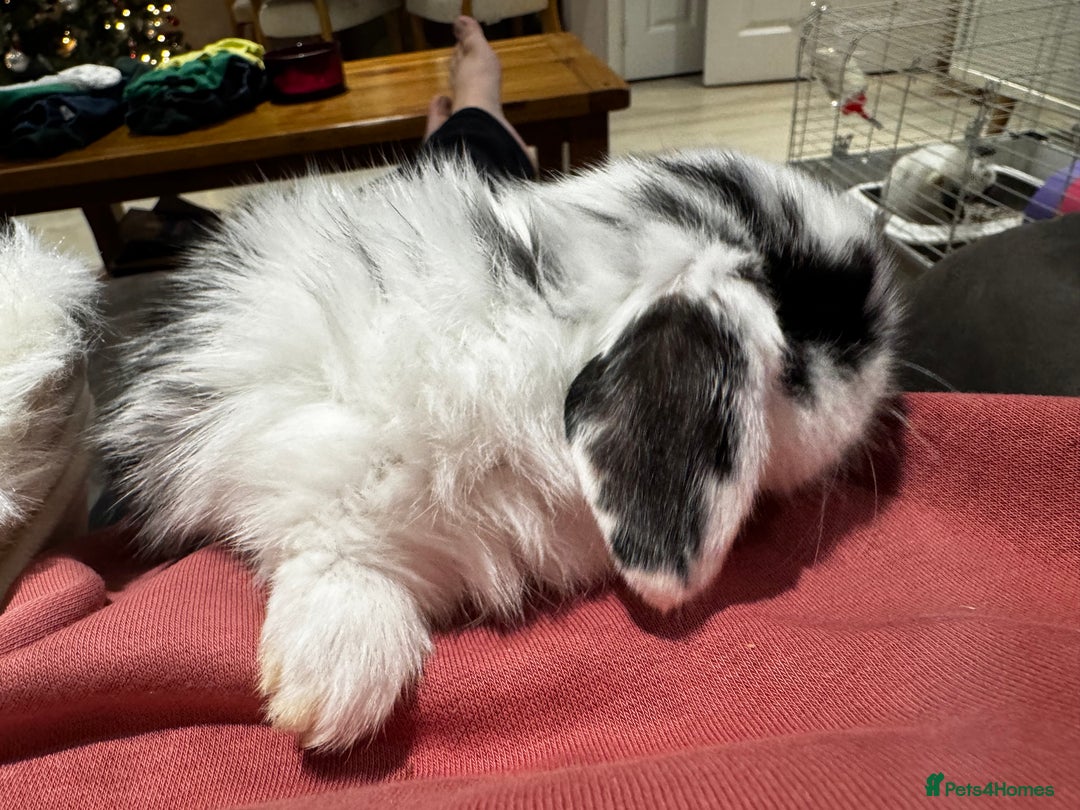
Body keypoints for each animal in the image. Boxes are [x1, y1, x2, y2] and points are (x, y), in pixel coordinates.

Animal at [94, 148, 901, 751]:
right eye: (823, 321)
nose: (887, 362)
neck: (546, 320)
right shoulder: (317, 462)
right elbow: (335, 555)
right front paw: (332, 688)